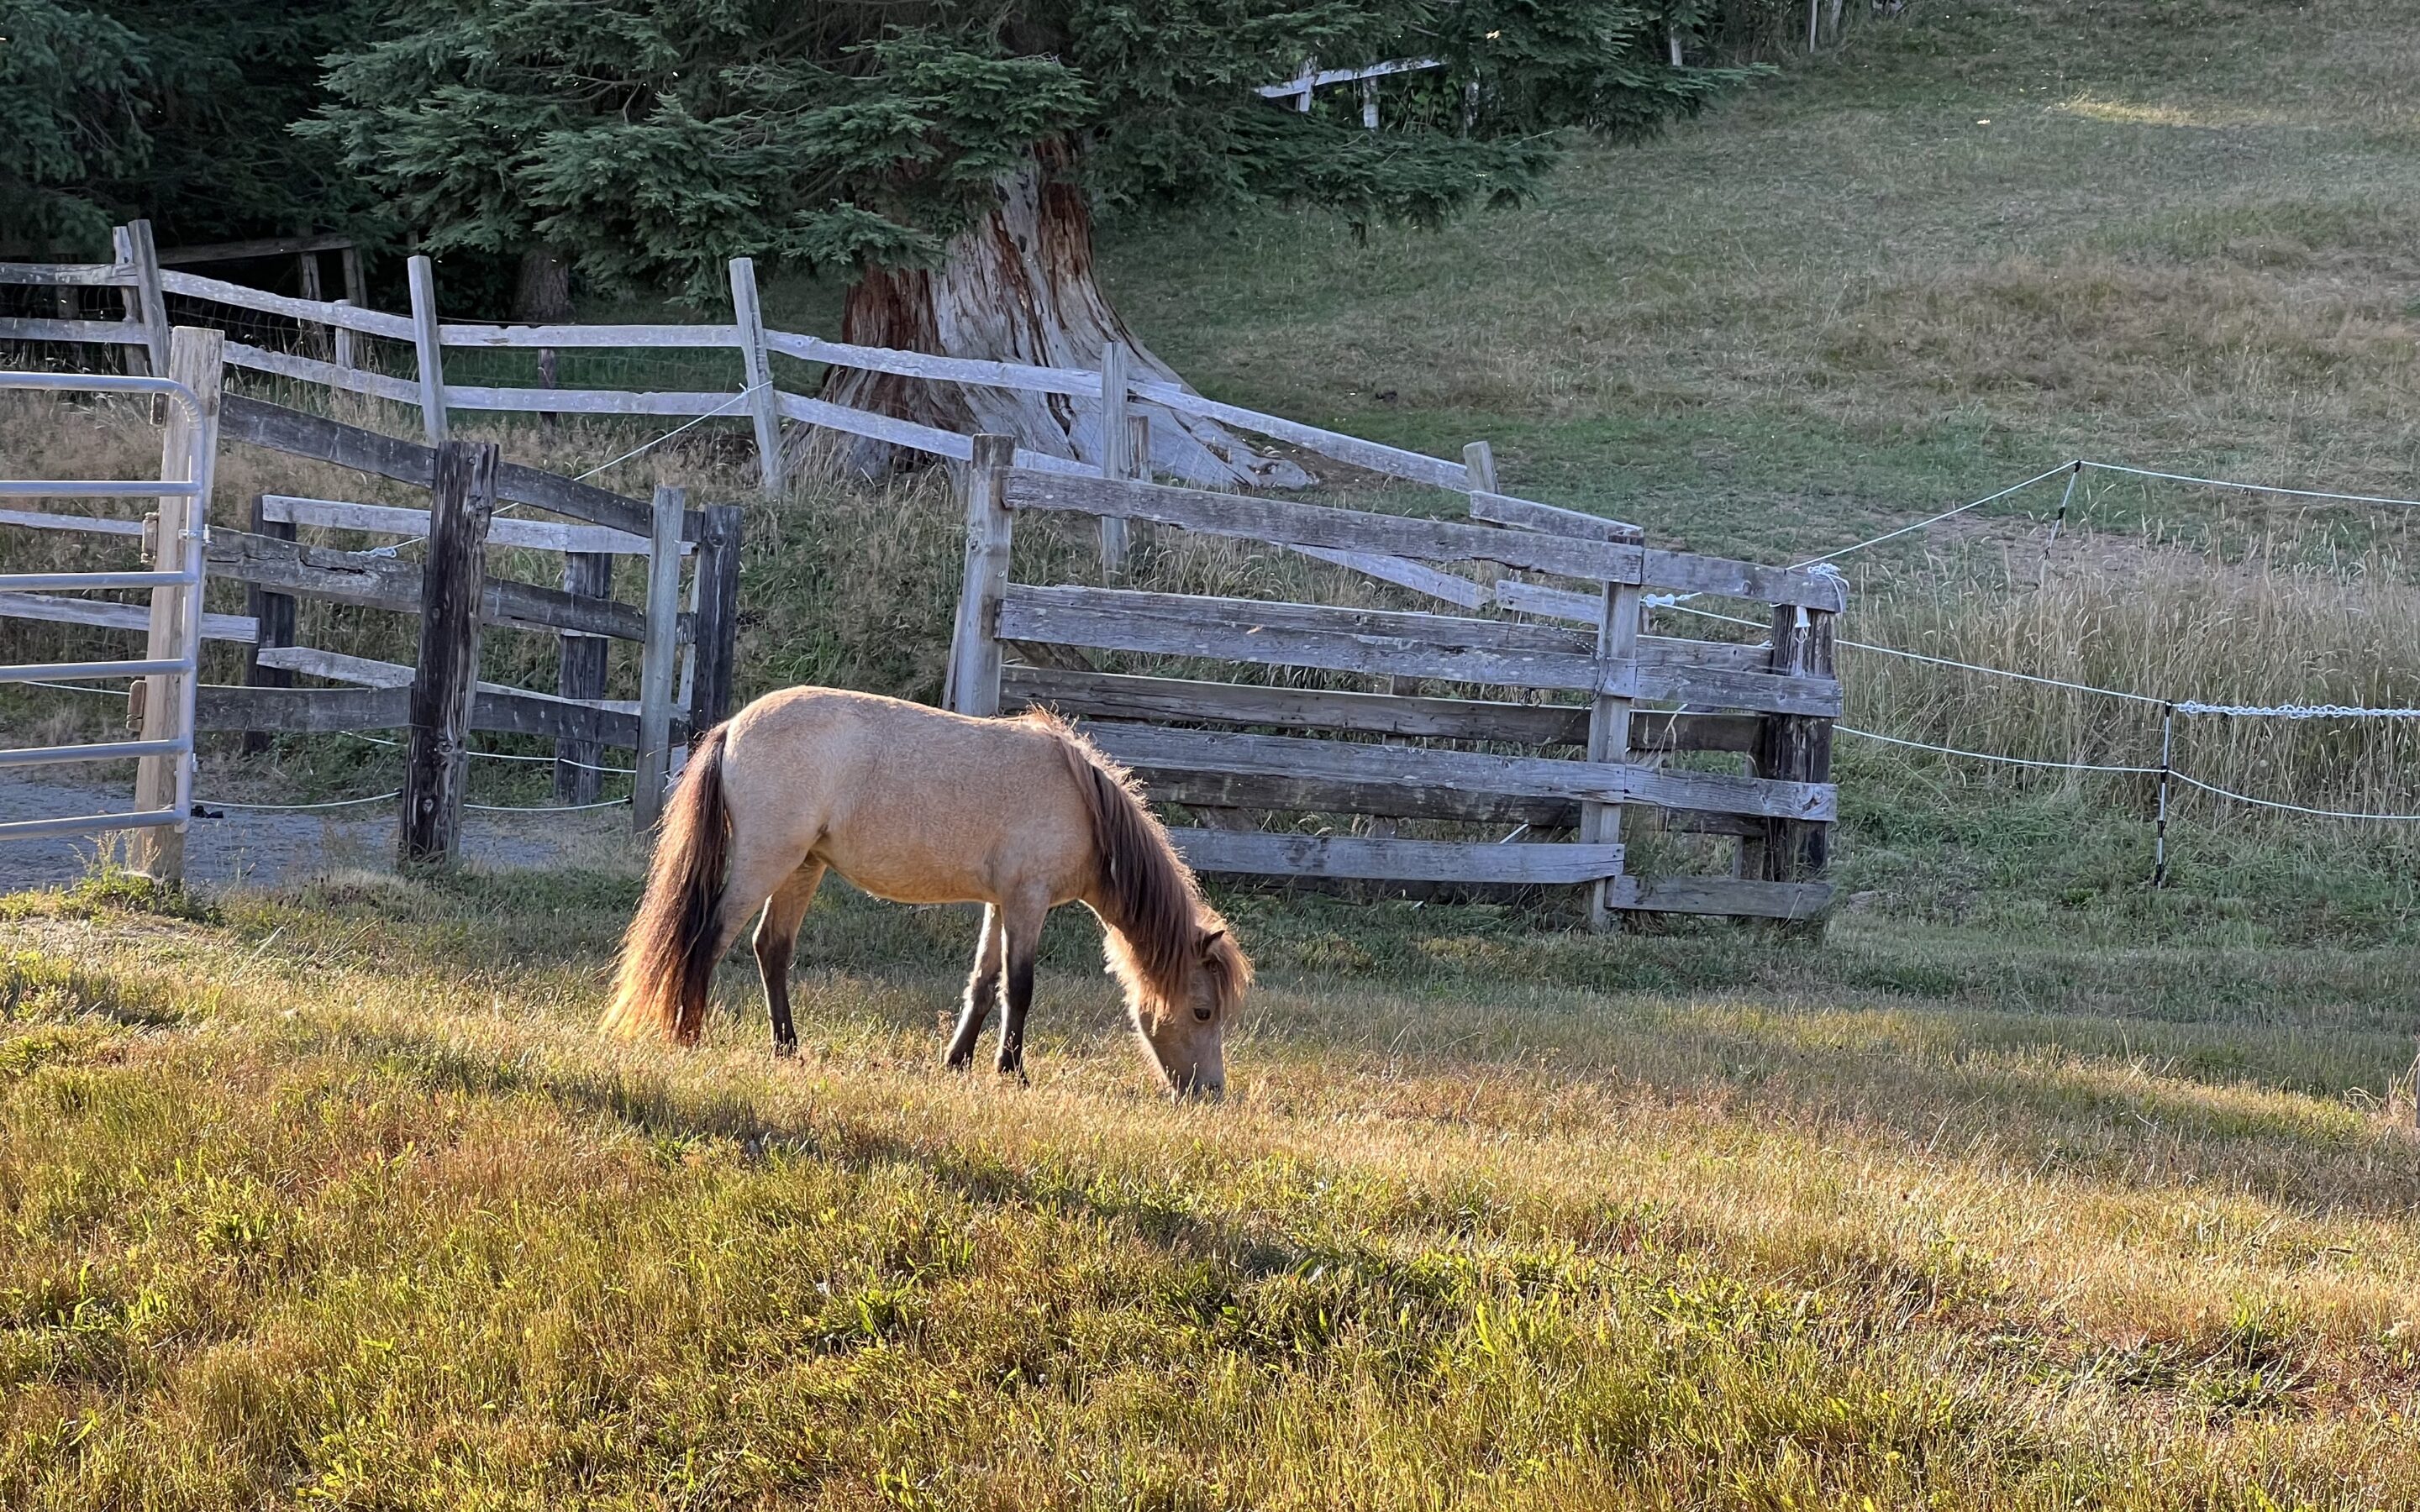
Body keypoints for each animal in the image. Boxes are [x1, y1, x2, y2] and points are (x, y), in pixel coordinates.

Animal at [600, 686, 1249, 1098]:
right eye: (1202, 1010)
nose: (1210, 1092)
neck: (1082, 803)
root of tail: (733, 726)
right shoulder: (1028, 902)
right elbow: (1020, 989)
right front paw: (1012, 1072)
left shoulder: (1002, 904)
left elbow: (984, 986)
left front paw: (957, 1062)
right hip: (768, 862)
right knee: (709, 939)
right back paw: (690, 1035)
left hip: (803, 867)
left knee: (771, 949)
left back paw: (788, 1049)